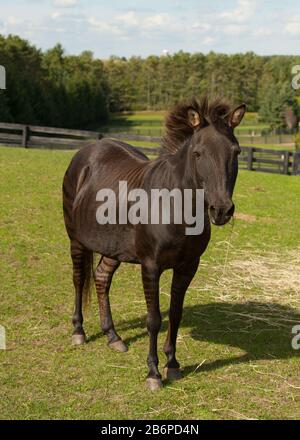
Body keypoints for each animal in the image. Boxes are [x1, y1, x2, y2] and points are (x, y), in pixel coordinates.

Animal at [62, 95, 245, 388]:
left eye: (236, 152)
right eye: (198, 153)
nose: (221, 210)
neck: (175, 205)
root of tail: (86, 152)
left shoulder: (188, 266)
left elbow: (175, 314)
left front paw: (173, 364)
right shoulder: (151, 266)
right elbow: (154, 319)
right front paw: (153, 373)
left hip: (113, 248)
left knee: (101, 278)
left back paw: (113, 337)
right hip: (76, 239)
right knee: (79, 280)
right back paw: (79, 331)